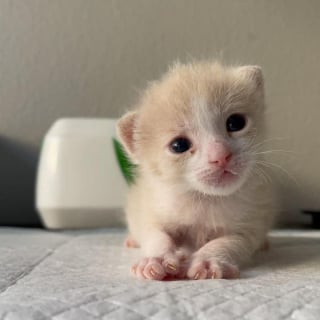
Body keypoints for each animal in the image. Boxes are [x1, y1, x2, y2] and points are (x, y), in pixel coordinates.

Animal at [117, 60, 276, 280]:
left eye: (235, 123)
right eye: (179, 145)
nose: (221, 155)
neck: (205, 200)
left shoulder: (252, 223)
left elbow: (228, 242)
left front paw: (207, 260)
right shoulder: (150, 208)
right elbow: (155, 234)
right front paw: (157, 258)